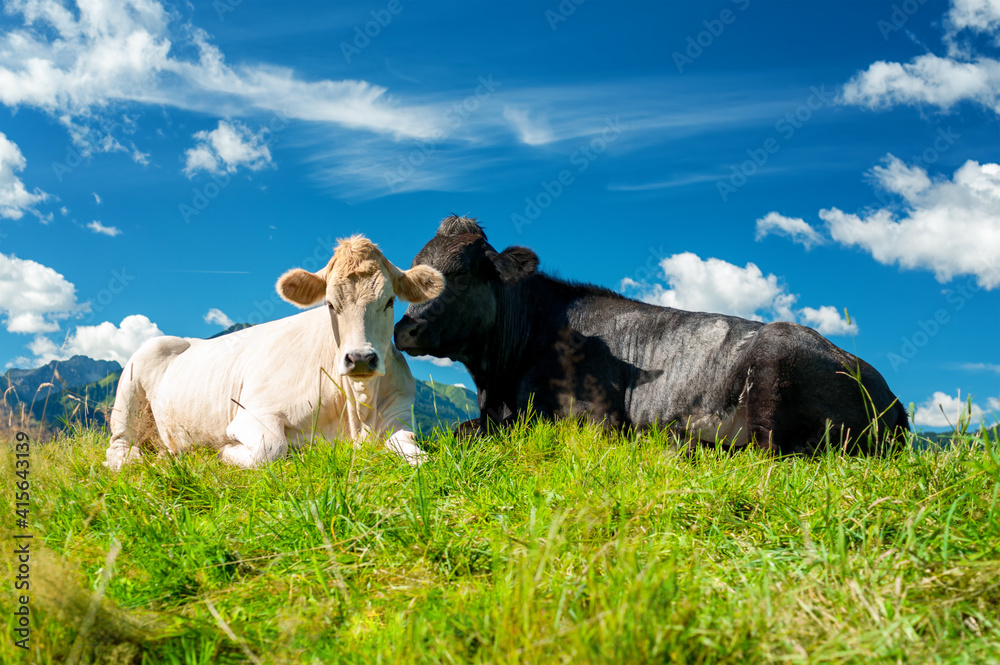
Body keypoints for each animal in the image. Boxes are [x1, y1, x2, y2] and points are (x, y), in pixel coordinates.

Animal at [104, 236, 442, 470]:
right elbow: (271, 448)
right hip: (130, 386)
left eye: (389, 301)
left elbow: (418, 454)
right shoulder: (252, 414)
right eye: (330, 304)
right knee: (119, 446)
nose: (360, 358)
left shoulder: (400, 416)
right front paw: (223, 452)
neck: (358, 413)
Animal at [394, 215, 912, 454]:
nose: (405, 328)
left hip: (774, 373)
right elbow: (463, 428)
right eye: (412, 272)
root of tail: (890, 396)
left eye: (461, 274)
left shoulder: (594, 419)